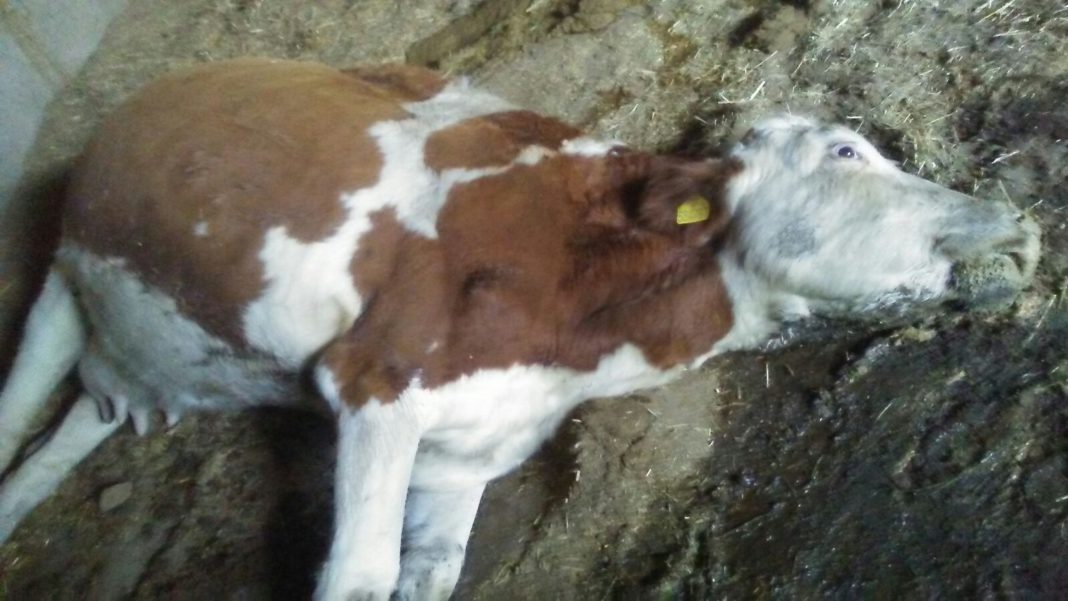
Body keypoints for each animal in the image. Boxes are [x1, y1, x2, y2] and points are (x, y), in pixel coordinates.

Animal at [0, 59, 1040, 600]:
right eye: (847, 151)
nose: (1020, 224)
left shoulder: (466, 455)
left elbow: (426, 576)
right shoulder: (377, 378)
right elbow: (359, 572)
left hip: (151, 353)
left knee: (69, 431)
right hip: (64, 270)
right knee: (19, 410)